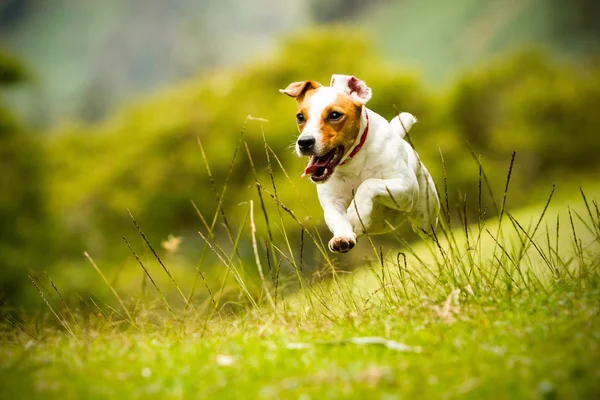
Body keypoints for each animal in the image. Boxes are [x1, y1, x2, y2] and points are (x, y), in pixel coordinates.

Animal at [282, 73, 440, 252]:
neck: (353, 161)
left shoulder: (405, 188)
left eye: (335, 115)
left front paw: (355, 217)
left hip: (424, 218)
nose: (304, 142)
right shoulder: (332, 202)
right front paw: (343, 237)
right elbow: (338, 218)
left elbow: (368, 184)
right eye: (300, 117)